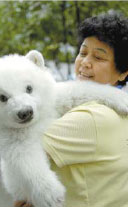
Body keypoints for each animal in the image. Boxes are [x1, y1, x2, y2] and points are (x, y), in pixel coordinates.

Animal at [0, 50, 128, 207]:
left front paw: (122, 99)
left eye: (29, 88)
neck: (35, 122)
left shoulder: (54, 102)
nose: (25, 112)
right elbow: (23, 155)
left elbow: (76, 92)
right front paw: (51, 195)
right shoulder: (9, 136)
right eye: (2, 97)